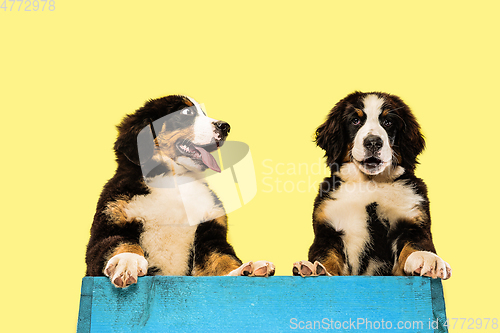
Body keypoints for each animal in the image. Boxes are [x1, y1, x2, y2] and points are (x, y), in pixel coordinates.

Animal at [85, 94, 274, 286]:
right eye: (186, 112)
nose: (226, 127)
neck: (175, 181)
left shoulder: (210, 232)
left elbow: (222, 257)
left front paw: (247, 269)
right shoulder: (110, 223)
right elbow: (120, 244)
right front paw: (127, 261)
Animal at [292, 90, 454, 278]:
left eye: (388, 122)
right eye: (355, 120)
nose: (373, 142)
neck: (370, 184)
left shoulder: (413, 221)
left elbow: (415, 245)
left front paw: (428, 259)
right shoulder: (328, 230)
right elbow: (326, 255)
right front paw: (313, 268)